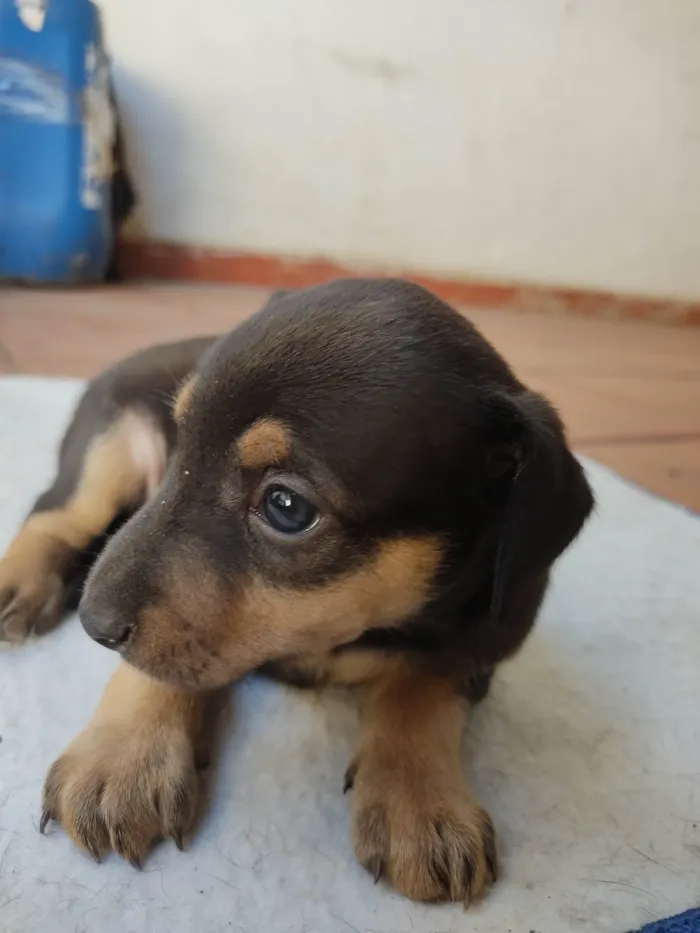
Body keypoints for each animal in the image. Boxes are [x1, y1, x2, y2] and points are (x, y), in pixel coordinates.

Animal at [0, 276, 592, 904]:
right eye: (181, 447)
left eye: (287, 507)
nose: (93, 623)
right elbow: (157, 666)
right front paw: (121, 760)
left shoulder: (485, 636)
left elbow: (422, 685)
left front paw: (421, 805)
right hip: (110, 445)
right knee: (55, 514)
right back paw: (16, 584)